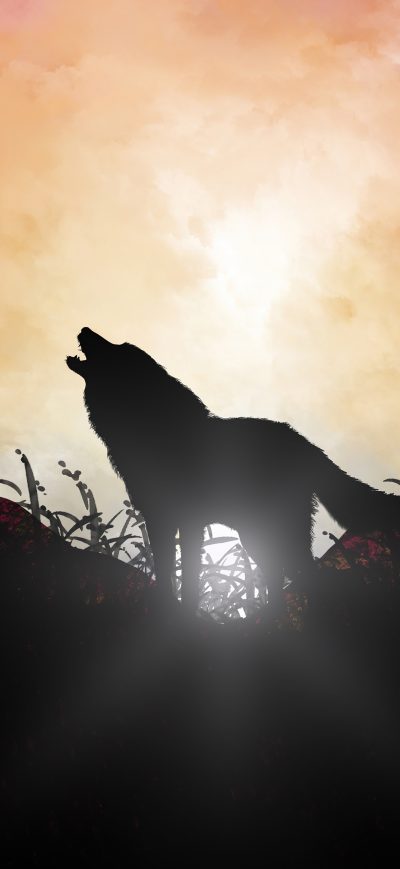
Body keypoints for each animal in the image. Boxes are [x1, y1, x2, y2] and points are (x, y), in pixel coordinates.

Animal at [67, 327, 400, 613]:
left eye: (117, 348)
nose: (84, 329)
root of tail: (304, 442)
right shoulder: (159, 519)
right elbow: (165, 574)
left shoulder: (187, 522)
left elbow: (189, 578)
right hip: (254, 535)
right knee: (279, 575)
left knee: (305, 573)